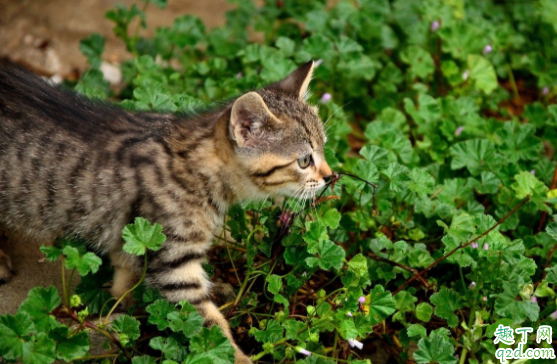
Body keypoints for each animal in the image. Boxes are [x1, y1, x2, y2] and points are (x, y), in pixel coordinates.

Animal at [0, 59, 330, 362]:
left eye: (324, 148)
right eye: (304, 161)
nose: (331, 176)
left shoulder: (136, 239)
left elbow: (124, 280)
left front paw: (120, 308)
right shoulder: (176, 263)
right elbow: (209, 324)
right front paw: (237, 356)